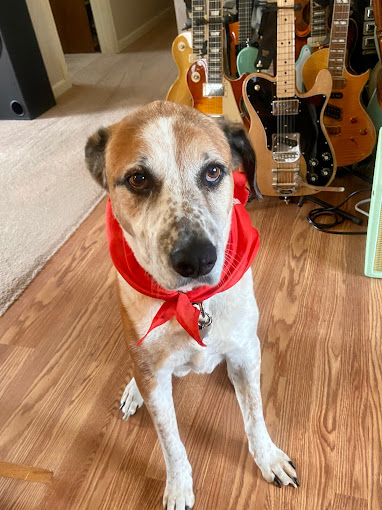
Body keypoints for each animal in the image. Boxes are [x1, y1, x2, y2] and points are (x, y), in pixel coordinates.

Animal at [85, 100, 300, 510]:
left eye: (213, 171)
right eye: (138, 179)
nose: (197, 260)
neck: (191, 305)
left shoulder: (245, 351)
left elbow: (254, 415)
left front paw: (268, 458)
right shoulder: (154, 378)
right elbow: (170, 442)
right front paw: (179, 487)